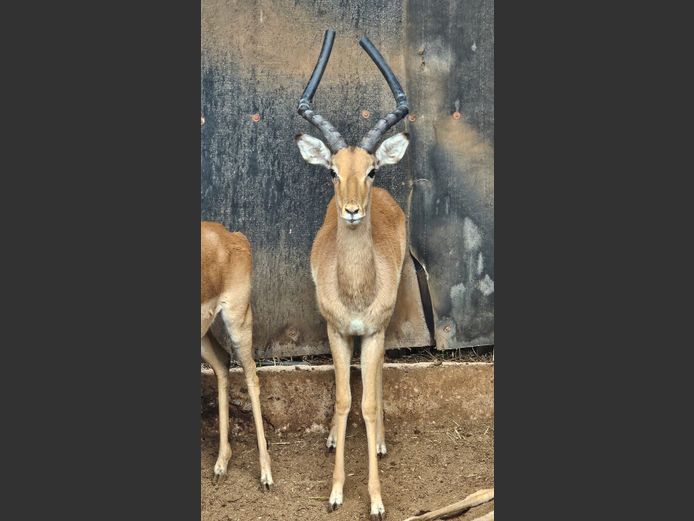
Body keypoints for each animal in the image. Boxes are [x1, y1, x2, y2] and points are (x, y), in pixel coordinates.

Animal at [201, 221, 273, 489]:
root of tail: (234, 235)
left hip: (238, 320)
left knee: (251, 374)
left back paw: (266, 475)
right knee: (222, 362)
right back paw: (221, 464)